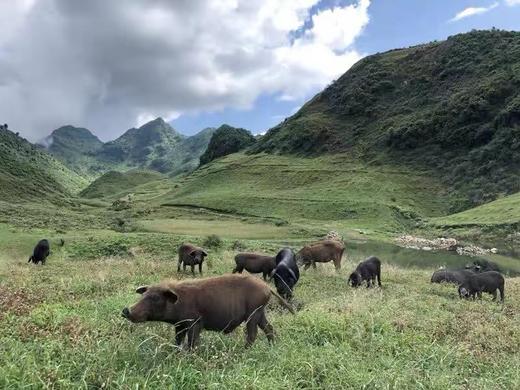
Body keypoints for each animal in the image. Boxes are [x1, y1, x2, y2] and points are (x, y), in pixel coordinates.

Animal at [120, 272, 294, 348]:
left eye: (155, 298)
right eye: (144, 295)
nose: (125, 310)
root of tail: (267, 287)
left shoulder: (195, 322)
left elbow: (192, 342)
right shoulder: (179, 324)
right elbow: (178, 340)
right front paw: (176, 352)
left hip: (254, 312)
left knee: (253, 333)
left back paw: (244, 351)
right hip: (260, 312)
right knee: (269, 328)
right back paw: (272, 347)